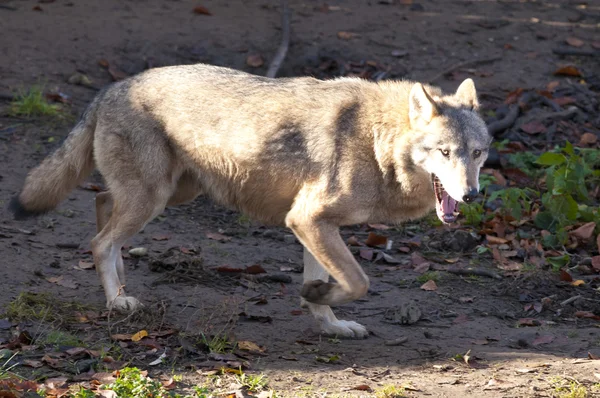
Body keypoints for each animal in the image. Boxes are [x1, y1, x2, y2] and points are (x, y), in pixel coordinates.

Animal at [8, 64, 492, 338]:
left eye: (477, 153)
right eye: (444, 152)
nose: (470, 195)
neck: (377, 141)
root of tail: (112, 87)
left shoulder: (314, 226)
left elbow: (328, 287)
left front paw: (328, 319)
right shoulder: (308, 220)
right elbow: (358, 282)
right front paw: (320, 295)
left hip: (170, 194)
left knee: (103, 205)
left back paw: (123, 281)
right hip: (153, 197)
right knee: (100, 241)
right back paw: (116, 301)